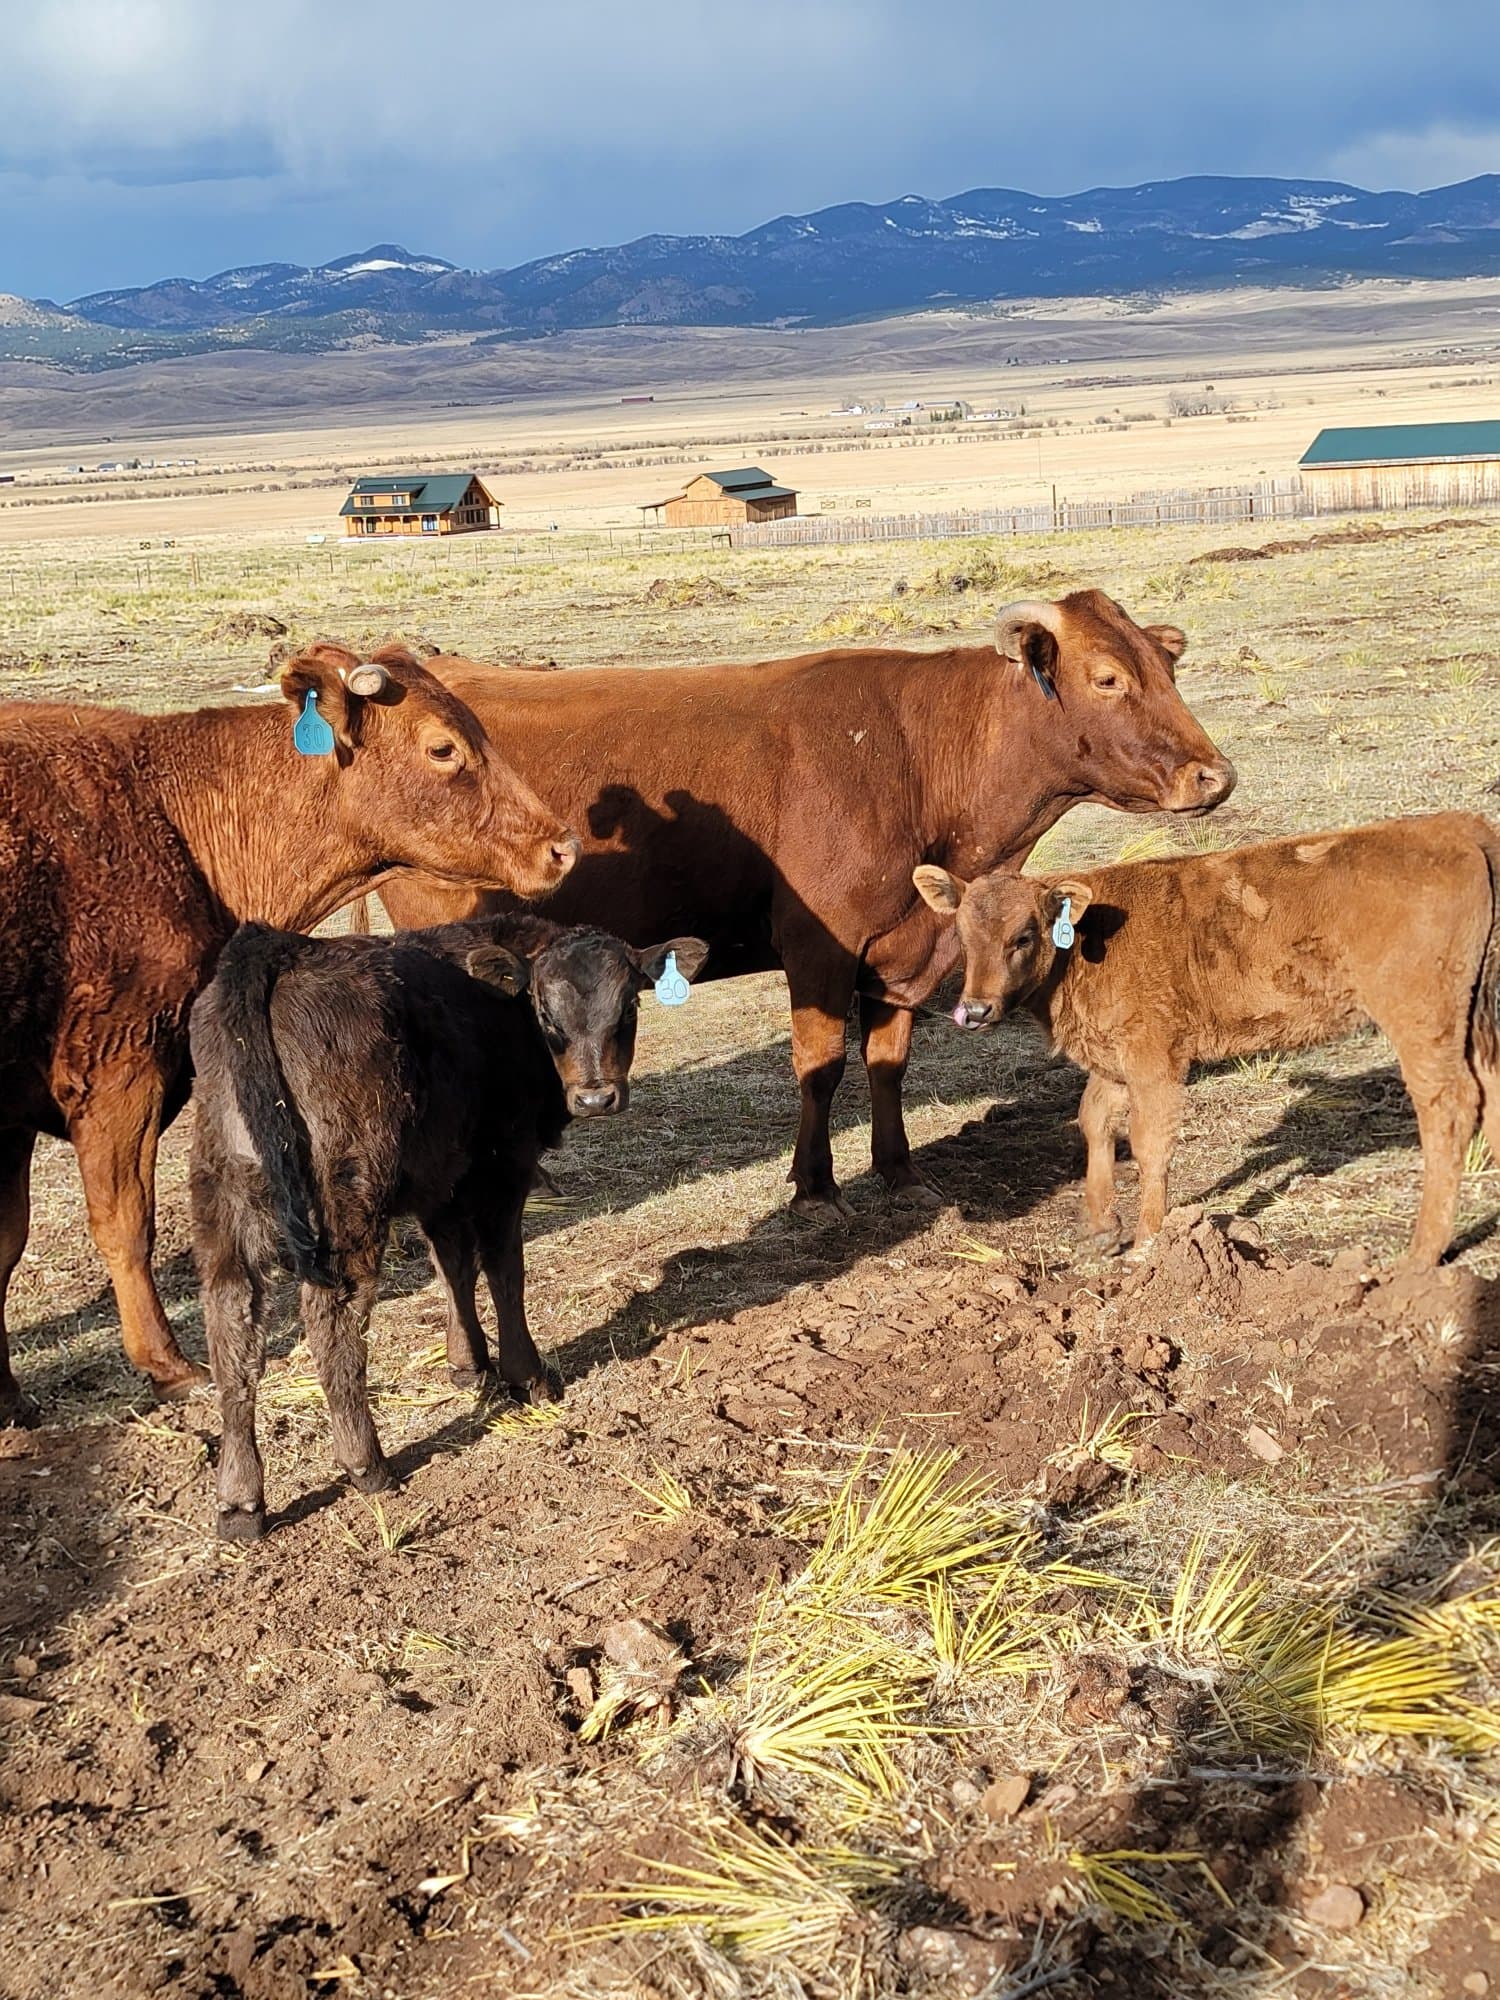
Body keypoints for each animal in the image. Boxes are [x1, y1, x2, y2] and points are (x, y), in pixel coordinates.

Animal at [0, 641, 580, 1426]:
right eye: (443, 748)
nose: (562, 846)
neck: (168, 818)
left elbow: (5, 1241)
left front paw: (5, 1391)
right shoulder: (120, 1070)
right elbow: (125, 1223)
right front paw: (165, 1364)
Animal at [188, 914, 708, 1538]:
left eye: (629, 1003)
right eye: (544, 1013)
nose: (595, 1097)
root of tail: (278, 947)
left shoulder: (441, 1182)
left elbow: (452, 1267)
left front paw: (467, 1363)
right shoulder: (503, 1165)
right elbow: (505, 1270)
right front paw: (526, 1375)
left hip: (223, 1194)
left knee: (231, 1325)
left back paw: (240, 1500)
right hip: (349, 1190)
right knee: (332, 1315)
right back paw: (367, 1465)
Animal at [353, 592, 1235, 1218]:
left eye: (1168, 670)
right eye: (1108, 678)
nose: (1214, 776)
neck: (917, 755)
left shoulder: (903, 948)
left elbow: (887, 1062)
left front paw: (899, 1172)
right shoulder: (819, 946)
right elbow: (821, 1067)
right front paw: (815, 1190)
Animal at [913, 812, 1500, 1267]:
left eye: (1024, 935)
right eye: (962, 936)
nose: (976, 1009)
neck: (1084, 943)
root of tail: (1457, 828)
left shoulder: (1154, 1057)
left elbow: (1149, 1141)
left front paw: (1148, 1244)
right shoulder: (1112, 1060)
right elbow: (1094, 1119)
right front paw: (1100, 1230)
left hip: (1422, 1018)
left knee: (1448, 1106)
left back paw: (1419, 1257)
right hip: (1476, 1018)